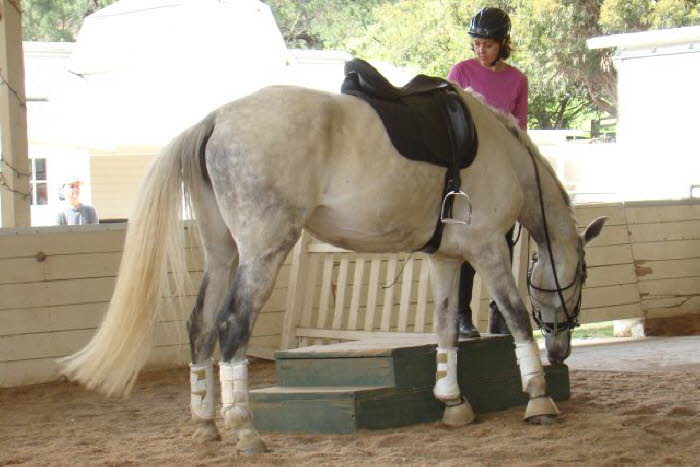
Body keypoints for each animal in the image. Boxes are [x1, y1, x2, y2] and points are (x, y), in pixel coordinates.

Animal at [61, 84, 608, 454]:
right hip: (263, 253)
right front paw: (539, 398)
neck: (502, 152)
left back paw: (204, 422)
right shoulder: (488, 249)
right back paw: (244, 428)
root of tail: (216, 119)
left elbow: (445, 329)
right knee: (231, 327)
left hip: (223, 253)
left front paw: (452, 402)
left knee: (201, 326)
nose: (562, 348)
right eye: (582, 277)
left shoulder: (446, 258)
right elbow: (515, 318)